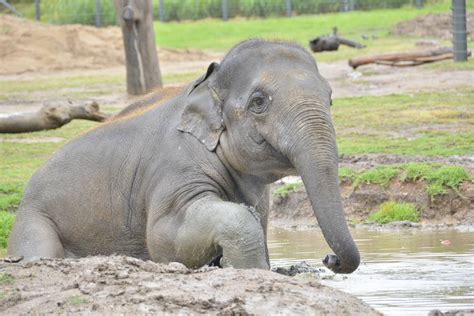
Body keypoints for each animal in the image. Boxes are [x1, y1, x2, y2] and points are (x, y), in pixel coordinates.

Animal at [8, 39, 360, 274]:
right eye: (259, 101)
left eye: (330, 98)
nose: (329, 258)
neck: (206, 84)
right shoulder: (174, 167)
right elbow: (163, 236)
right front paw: (252, 270)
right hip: (34, 219)